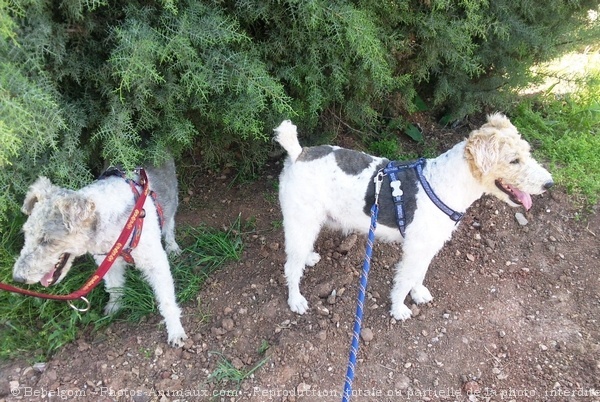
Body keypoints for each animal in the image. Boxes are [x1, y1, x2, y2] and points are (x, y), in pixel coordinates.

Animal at [12, 157, 186, 346]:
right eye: (26, 232)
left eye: (47, 240)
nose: (18, 278)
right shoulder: (106, 262)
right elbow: (114, 287)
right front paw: (114, 307)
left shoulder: (155, 262)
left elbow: (167, 302)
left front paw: (176, 332)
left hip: (171, 198)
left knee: (170, 225)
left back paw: (173, 247)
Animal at [276, 114, 552, 320]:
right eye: (513, 160)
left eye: (527, 152)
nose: (549, 184)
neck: (442, 183)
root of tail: (298, 152)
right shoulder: (415, 248)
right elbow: (405, 280)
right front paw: (399, 309)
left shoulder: (429, 246)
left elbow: (420, 274)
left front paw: (419, 294)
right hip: (301, 220)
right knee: (290, 266)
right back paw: (296, 300)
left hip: (308, 222)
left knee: (298, 254)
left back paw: (309, 257)